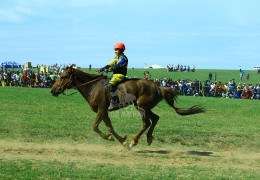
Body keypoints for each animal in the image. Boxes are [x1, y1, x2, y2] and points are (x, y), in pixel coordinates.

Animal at [51, 65, 205, 148]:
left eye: (63, 76)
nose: (53, 90)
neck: (93, 87)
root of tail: (158, 86)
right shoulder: (105, 112)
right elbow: (110, 128)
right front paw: (121, 140)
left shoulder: (101, 110)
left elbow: (95, 127)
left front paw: (116, 139)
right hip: (144, 107)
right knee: (155, 119)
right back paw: (148, 138)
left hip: (142, 107)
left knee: (146, 123)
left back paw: (134, 141)